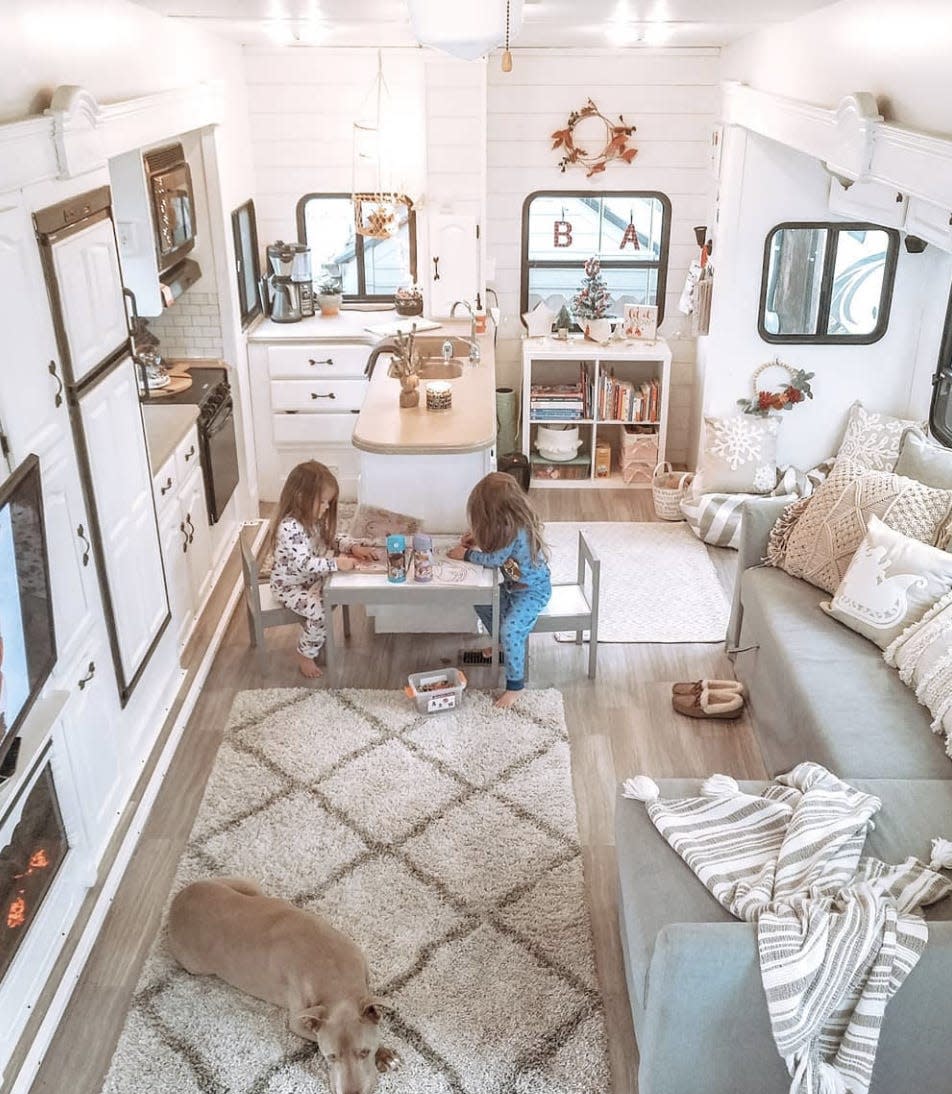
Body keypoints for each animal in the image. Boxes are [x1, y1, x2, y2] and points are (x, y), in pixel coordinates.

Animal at [167, 879, 398, 1094]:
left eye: (365, 1052)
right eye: (330, 1057)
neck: (335, 979)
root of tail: (176, 901)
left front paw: (384, 1053)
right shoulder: (299, 1021)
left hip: (243, 885)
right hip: (194, 965)